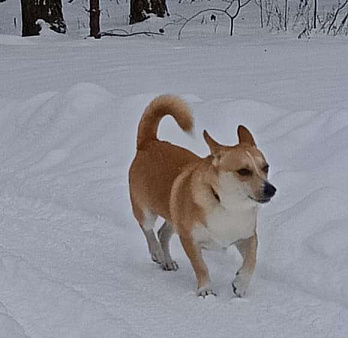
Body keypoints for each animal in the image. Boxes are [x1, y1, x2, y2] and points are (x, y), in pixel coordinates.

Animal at [128, 94, 278, 296]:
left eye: (266, 167)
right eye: (243, 171)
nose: (271, 189)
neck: (227, 205)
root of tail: (149, 142)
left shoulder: (248, 237)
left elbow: (251, 261)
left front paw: (240, 284)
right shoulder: (189, 240)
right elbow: (200, 266)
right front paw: (206, 289)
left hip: (173, 215)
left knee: (163, 233)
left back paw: (167, 260)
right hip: (145, 211)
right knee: (148, 230)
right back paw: (157, 253)